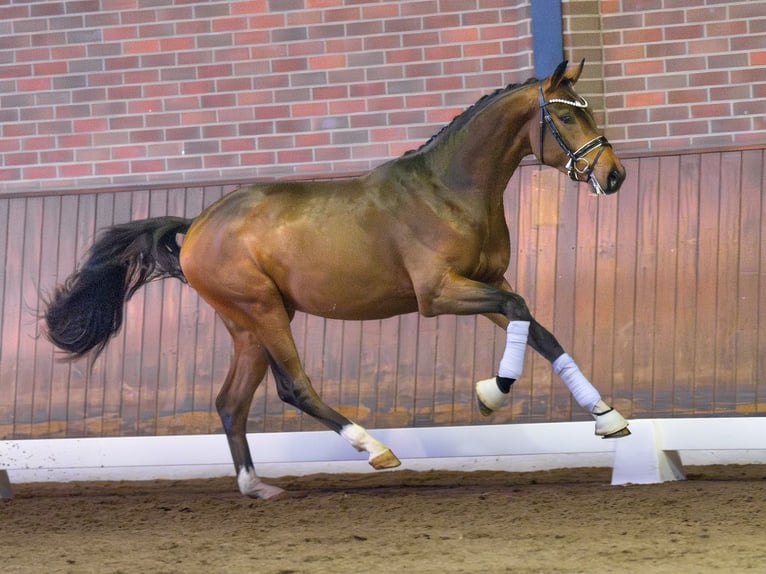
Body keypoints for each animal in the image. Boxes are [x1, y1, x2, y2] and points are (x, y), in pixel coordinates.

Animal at [43, 58, 632, 500]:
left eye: (587, 111)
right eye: (566, 117)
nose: (613, 176)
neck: (450, 190)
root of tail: (196, 227)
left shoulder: (486, 281)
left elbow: (536, 326)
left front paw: (607, 418)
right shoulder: (439, 293)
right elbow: (519, 313)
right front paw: (491, 393)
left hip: (248, 325)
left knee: (231, 402)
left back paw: (256, 487)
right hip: (262, 311)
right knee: (293, 386)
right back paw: (375, 449)